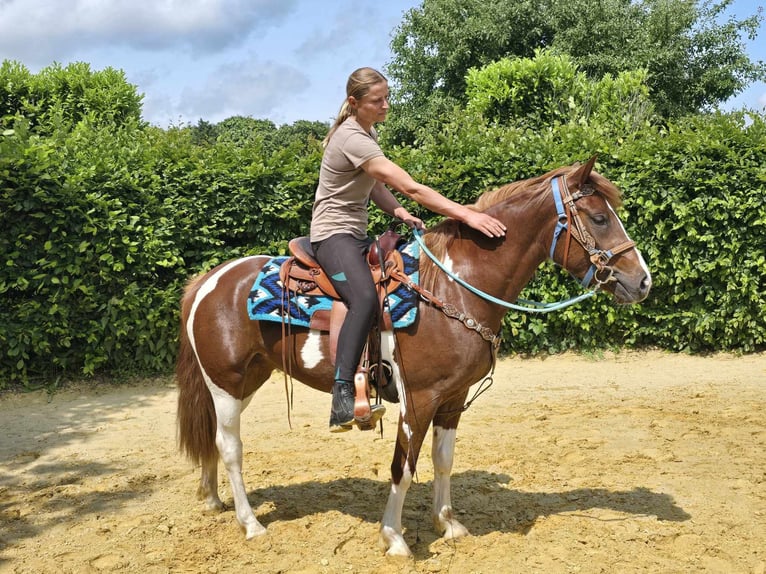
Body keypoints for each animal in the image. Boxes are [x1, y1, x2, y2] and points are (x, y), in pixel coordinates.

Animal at [175, 156, 651, 557]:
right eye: (599, 218)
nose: (642, 281)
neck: (454, 286)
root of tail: (209, 280)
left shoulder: (453, 398)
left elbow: (443, 461)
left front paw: (448, 523)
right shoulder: (418, 399)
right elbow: (403, 466)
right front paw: (395, 537)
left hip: (248, 380)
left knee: (214, 438)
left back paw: (213, 499)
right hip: (226, 382)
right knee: (230, 447)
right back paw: (250, 523)